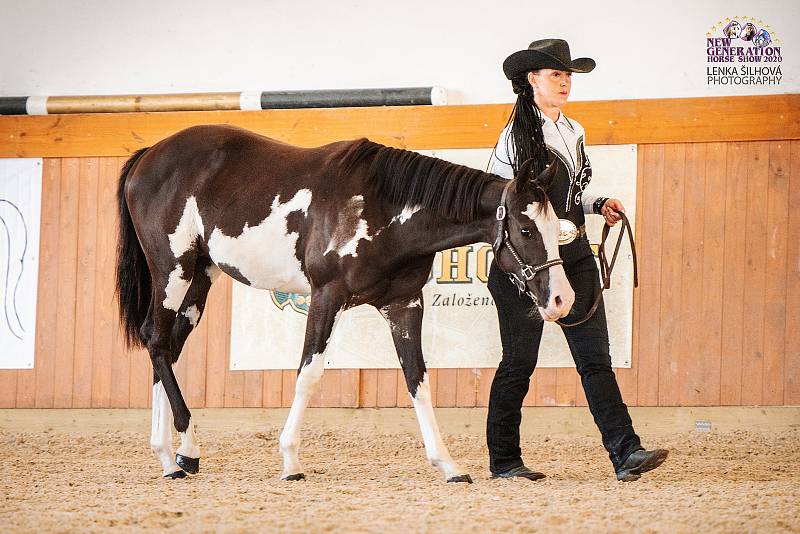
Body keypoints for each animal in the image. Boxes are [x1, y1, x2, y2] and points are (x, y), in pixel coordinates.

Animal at [114, 123, 576, 484]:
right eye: (525, 229)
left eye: (557, 227)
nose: (561, 299)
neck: (385, 207)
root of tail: (149, 156)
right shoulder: (327, 296)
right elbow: (308, 374)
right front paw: (290, 461)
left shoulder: (404, 305)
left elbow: (418, 381)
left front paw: (448, 464)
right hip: (172, 269)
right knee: (156, 340)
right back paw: (185, 450)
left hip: (200, 276)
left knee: (167, 348)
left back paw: (169, 456)